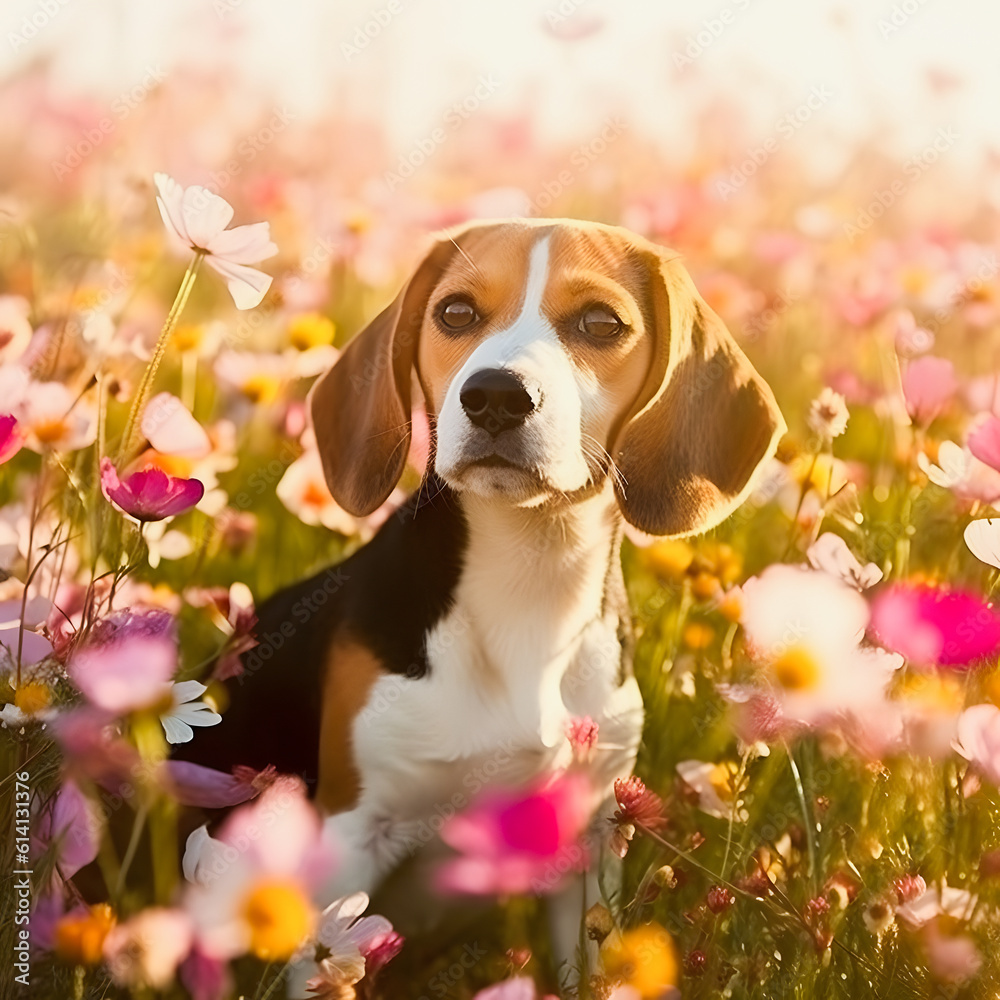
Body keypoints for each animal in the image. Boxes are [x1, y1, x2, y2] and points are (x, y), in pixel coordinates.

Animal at [182, 217, 788, 984]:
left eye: (601, 323)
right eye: (456, 312)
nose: (496, 395)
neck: (529, 577)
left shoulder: (588, 845)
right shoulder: (352, 832)